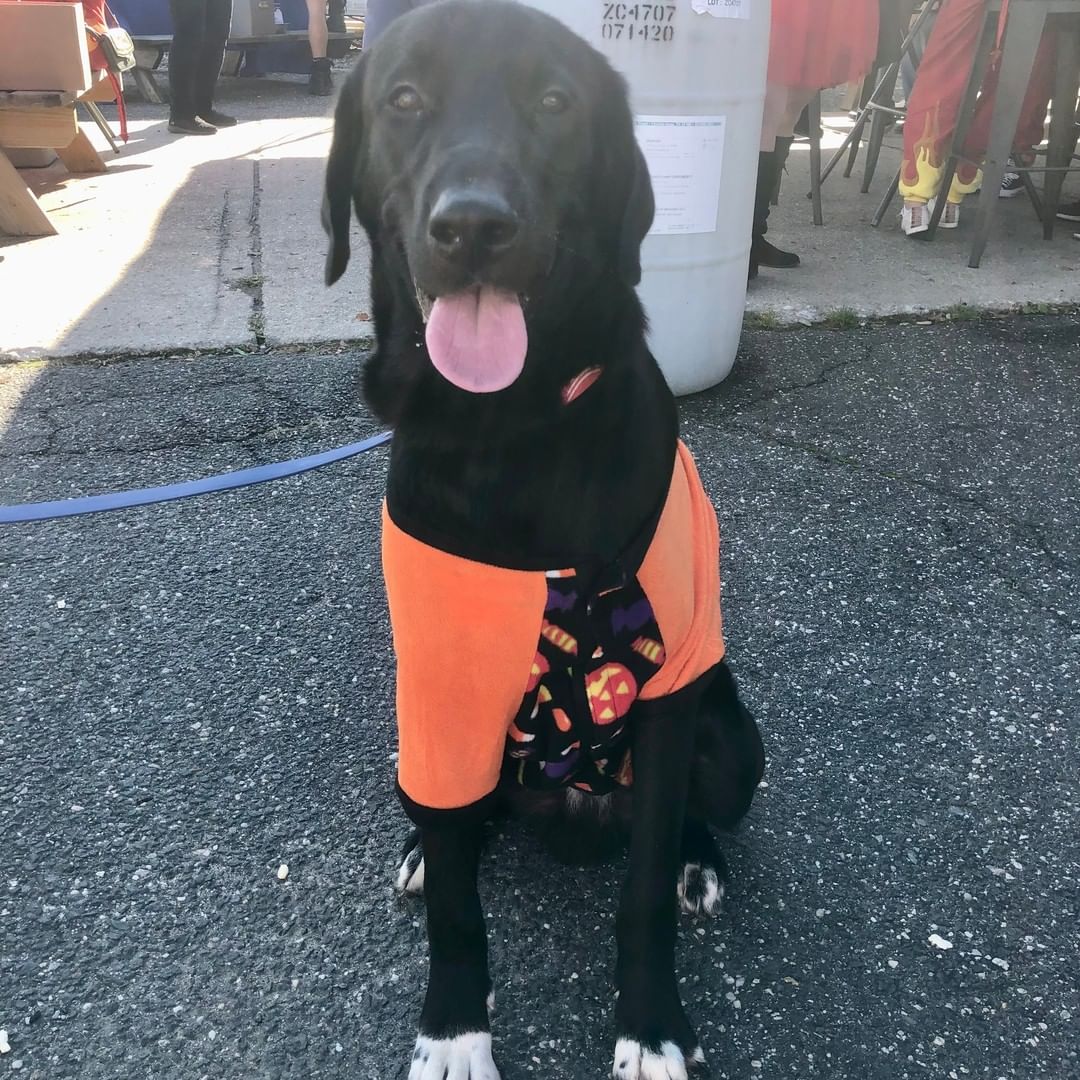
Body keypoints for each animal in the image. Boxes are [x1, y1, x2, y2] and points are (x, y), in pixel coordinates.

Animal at [324, 4, 764, 1075]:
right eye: (404, 97)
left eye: (557, 103)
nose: (474, 225)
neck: (509, 431)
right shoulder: (441, 685)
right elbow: (455, 902)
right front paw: (454, 1030)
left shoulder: (670, 683)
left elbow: (643, 891)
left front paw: (651, 1025)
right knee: (455, 820)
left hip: (735, 738)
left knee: (683, 816)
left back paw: (699, 861)